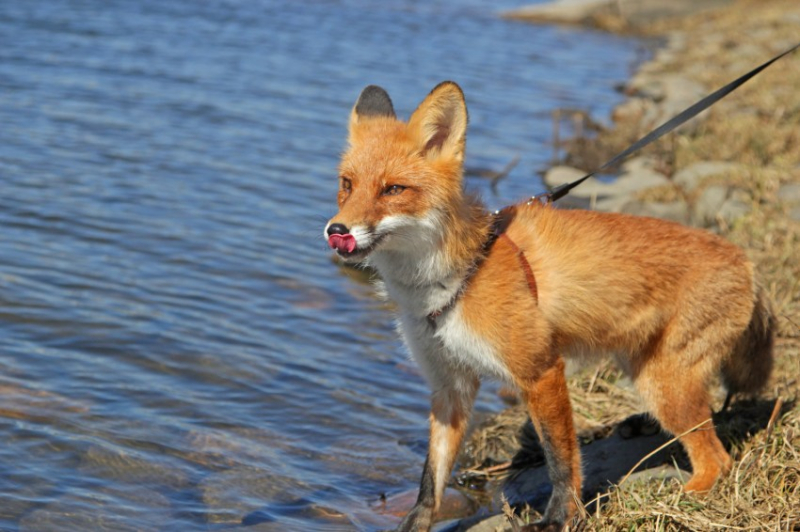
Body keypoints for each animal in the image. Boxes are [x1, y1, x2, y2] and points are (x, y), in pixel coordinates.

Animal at [324, 83, 776, 532]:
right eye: (347, 184)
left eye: (393, 190)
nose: (336, 229)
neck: (459, 276)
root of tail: (745, 259)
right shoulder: (449, 386)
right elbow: (430, 482)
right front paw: (416, 523)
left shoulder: (541, 372)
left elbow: (561, 462)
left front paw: (560, 518)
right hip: (645, 371)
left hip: (666, 388)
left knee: (718, 459)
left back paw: (682, 498)